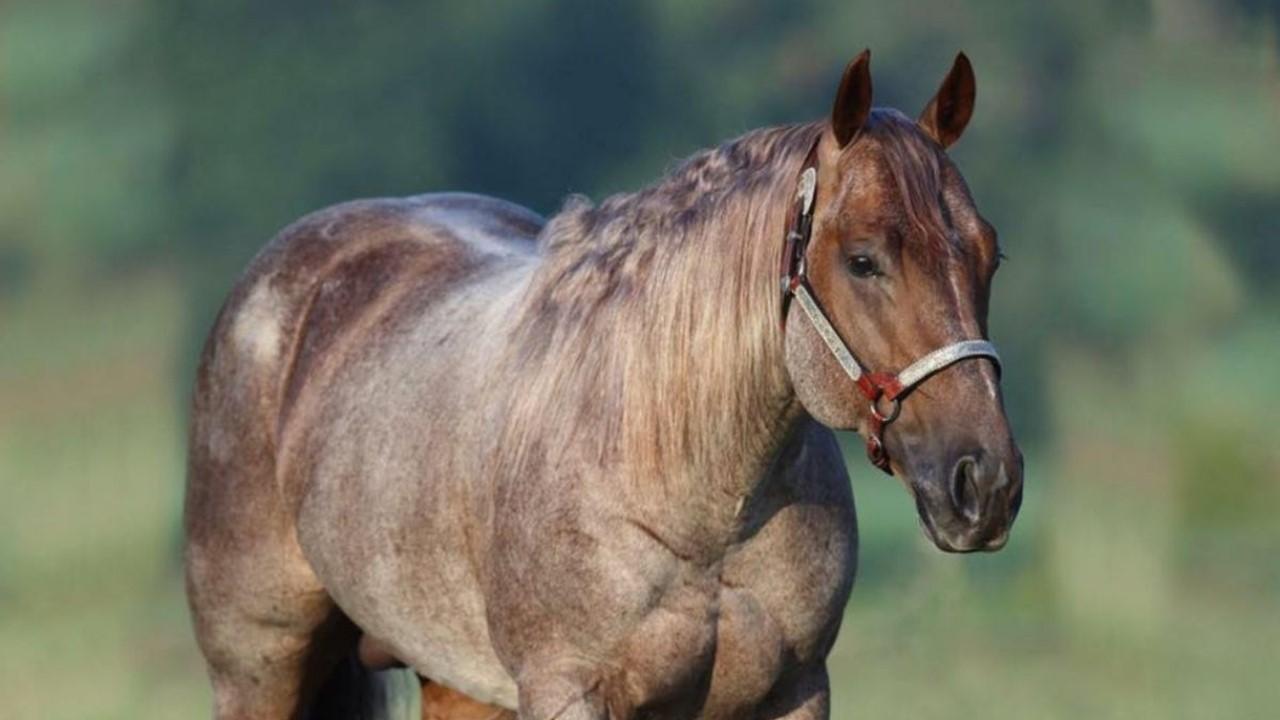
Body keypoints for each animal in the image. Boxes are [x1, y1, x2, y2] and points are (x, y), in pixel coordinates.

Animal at [184, 49, 1023, 720]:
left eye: (990, 254)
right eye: (861, 259)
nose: (986, 484)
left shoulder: (794, 691)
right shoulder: (571, 692)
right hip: (258, 672)